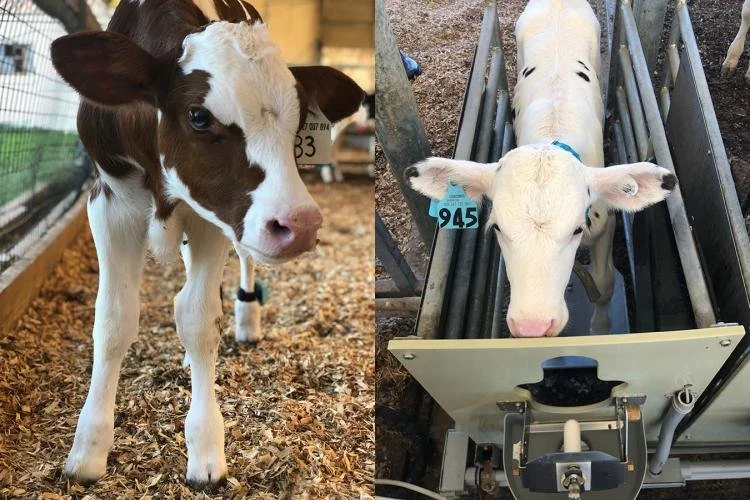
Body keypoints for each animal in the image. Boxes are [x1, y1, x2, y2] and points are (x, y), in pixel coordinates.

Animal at [50, 0, 364, 486]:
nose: (301, 224)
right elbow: (114, 320)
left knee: (236, 273)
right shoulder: (108, 200)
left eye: (298, 124)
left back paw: (245, 319)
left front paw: (205, 449)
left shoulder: (213, 219)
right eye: (199, 117)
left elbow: (198, 319)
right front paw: (87, 451)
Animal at [409, 0, 675, 338]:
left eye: (576, 229)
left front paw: (601, 328)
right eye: (497, 227)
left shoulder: (605, 225)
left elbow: (604, 285)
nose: (532, 325)